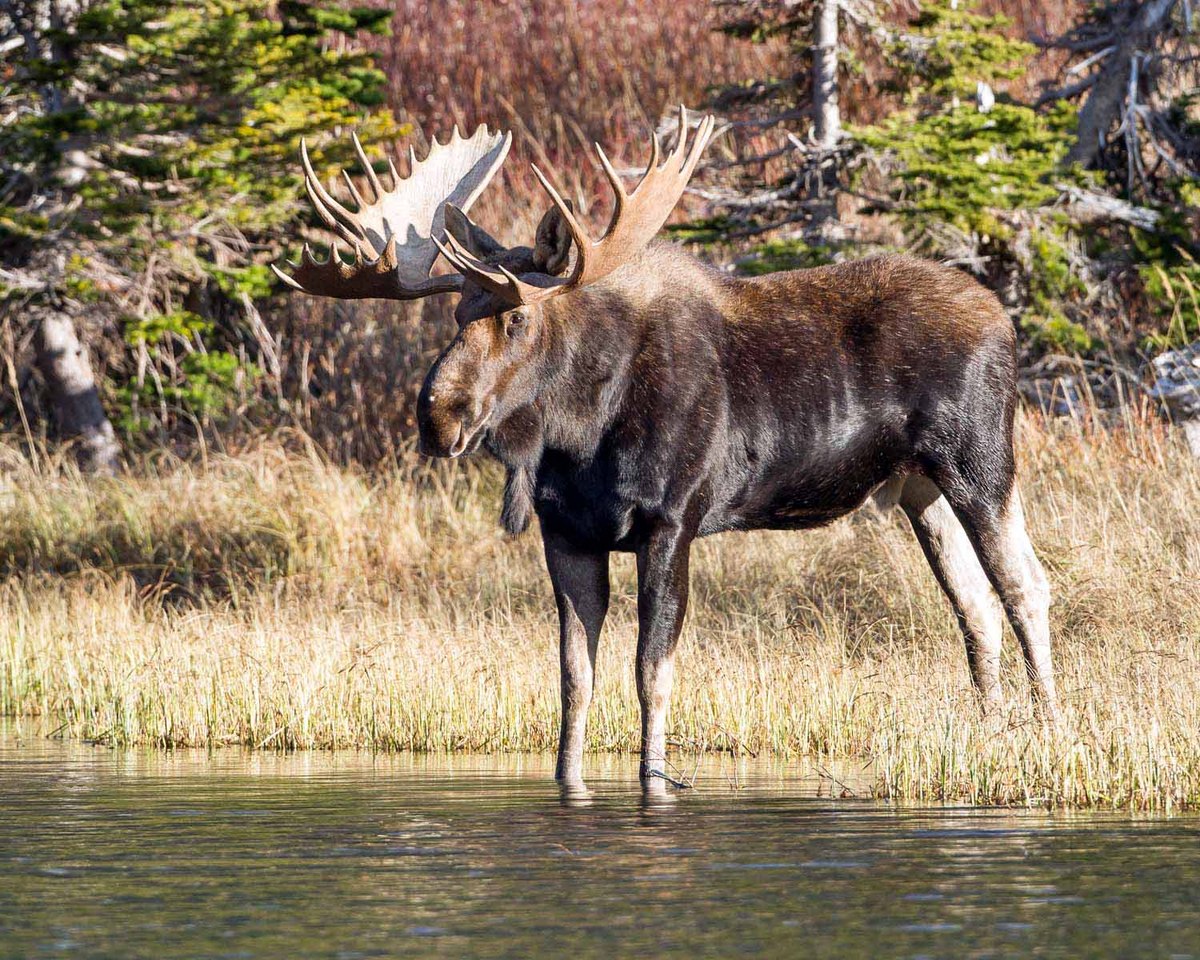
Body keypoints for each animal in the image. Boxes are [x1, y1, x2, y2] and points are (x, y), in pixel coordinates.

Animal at [274, 110, 1059, 792]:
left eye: (517, 318)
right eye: (457, 314)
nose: (438, 416)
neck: (579, 434)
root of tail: (1004, 318)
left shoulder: (671, 523)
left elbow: (651, 670)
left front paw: (654, 780)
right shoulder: (567, 535)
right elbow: (575, 676)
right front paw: (568, 780)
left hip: (979, 462)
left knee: (1024, 584)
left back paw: (1052, 728)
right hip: (919, 490)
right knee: (975, 605)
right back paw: (992, 732)